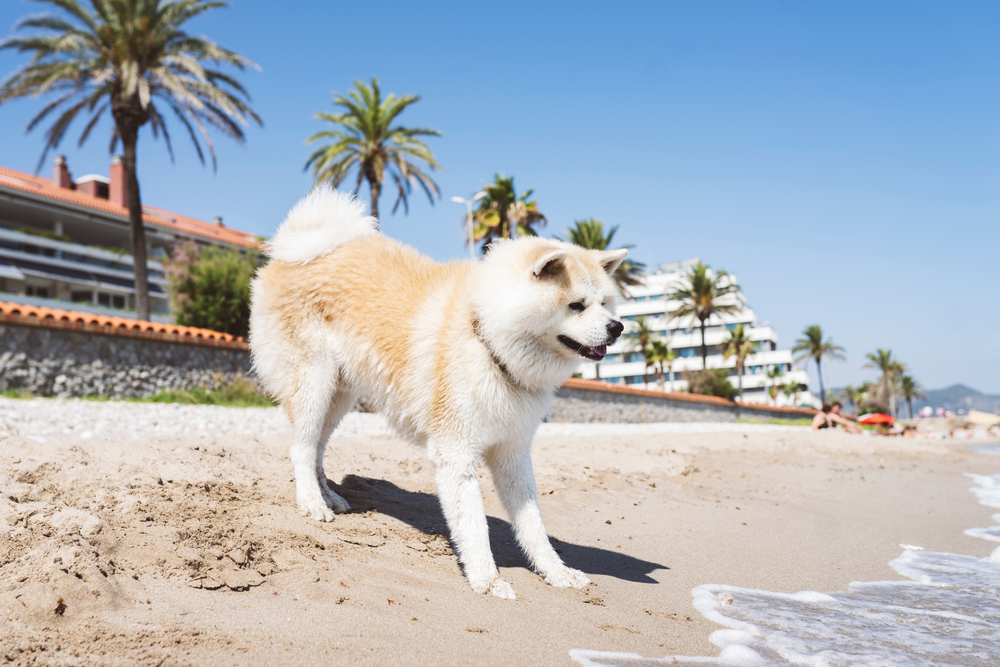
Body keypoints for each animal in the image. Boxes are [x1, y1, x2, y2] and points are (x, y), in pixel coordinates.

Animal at [250, 189, 624, 600]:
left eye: (605, 302)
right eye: (576, 305)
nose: (617, 327)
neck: (488, 339)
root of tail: (295, 250)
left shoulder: (513, 453)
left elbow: (533, 527)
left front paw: (555, 572)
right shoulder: (455, 453)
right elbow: (474, 526)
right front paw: (487, 580)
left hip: (339, 396)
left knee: (316, 448)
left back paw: (327, 495)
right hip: (315, 382)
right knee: (301, 448)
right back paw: (312, 503)